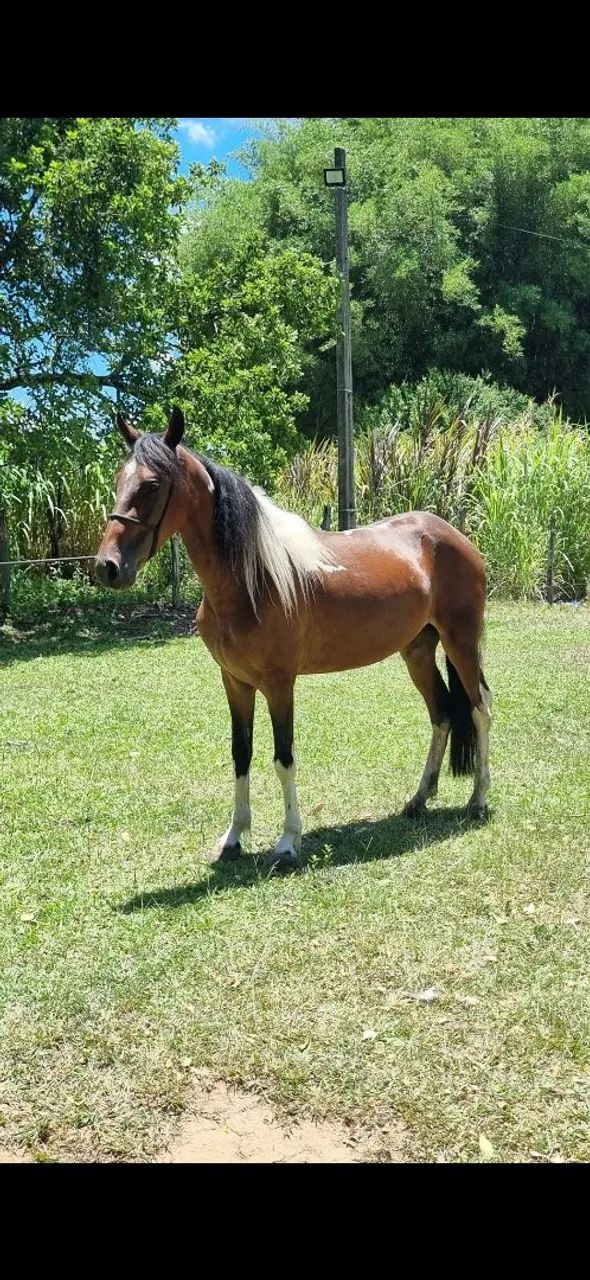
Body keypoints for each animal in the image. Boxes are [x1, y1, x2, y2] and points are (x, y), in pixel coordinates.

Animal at [95, 407, 492, 867]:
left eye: (153, 484)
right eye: (119, 480)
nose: (107, 566)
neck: (252, 578)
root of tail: (455, 536)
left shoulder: (279, 684)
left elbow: (283, 758)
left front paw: (288, 841)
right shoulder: (235, 682)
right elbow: (241, 755)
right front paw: (234, 838)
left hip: (461, 643)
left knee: (480, 708)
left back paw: (478, 799)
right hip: (417, 651)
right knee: (442, 713)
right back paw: (419, 799)